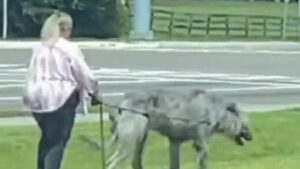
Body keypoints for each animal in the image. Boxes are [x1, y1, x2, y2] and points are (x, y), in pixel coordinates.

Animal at [106, 89, 252, 168]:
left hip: (140, 140)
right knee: (115, 161)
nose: (251, 137)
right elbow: (202, 161)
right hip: (130, 140)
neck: (217, 112)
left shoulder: (175, 142)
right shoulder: (201, 143)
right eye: (246, 124)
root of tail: (123, 103)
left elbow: (175, 163)